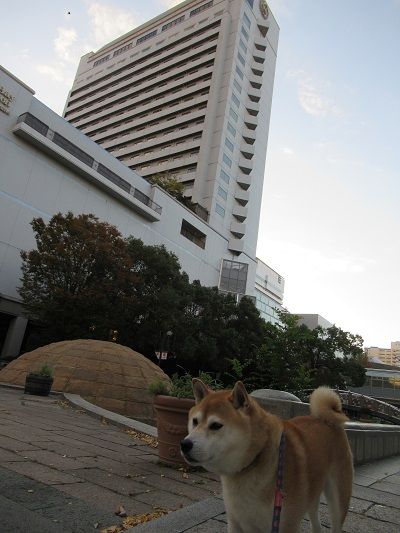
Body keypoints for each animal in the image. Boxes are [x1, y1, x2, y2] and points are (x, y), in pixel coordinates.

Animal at [181, 378, 354, 532]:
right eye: (195, 421)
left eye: (216, 425)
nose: (184, 444)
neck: (255, 460)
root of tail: (327, 420)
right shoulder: (237, 523)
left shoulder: (285, 525)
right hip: (312, 493)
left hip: (338, 500)